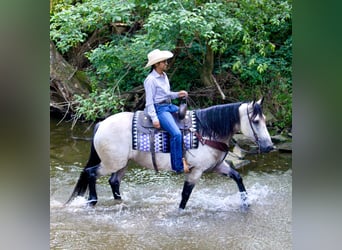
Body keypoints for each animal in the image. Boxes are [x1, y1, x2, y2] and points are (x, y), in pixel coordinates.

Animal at [67, 97, 274, 209]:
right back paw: (92, 201)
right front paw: (180, 212)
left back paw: (120, 202)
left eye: (265, 119)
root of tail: (102, 124)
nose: (269, 147)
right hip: (112, 163)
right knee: (91, 172)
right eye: (256, 121)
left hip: (122, 164)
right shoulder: (196, 171)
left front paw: (246, 203)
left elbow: (237, 177)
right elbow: (185, 194)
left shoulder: (217, 166)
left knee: (114, 181)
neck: (207, 131)